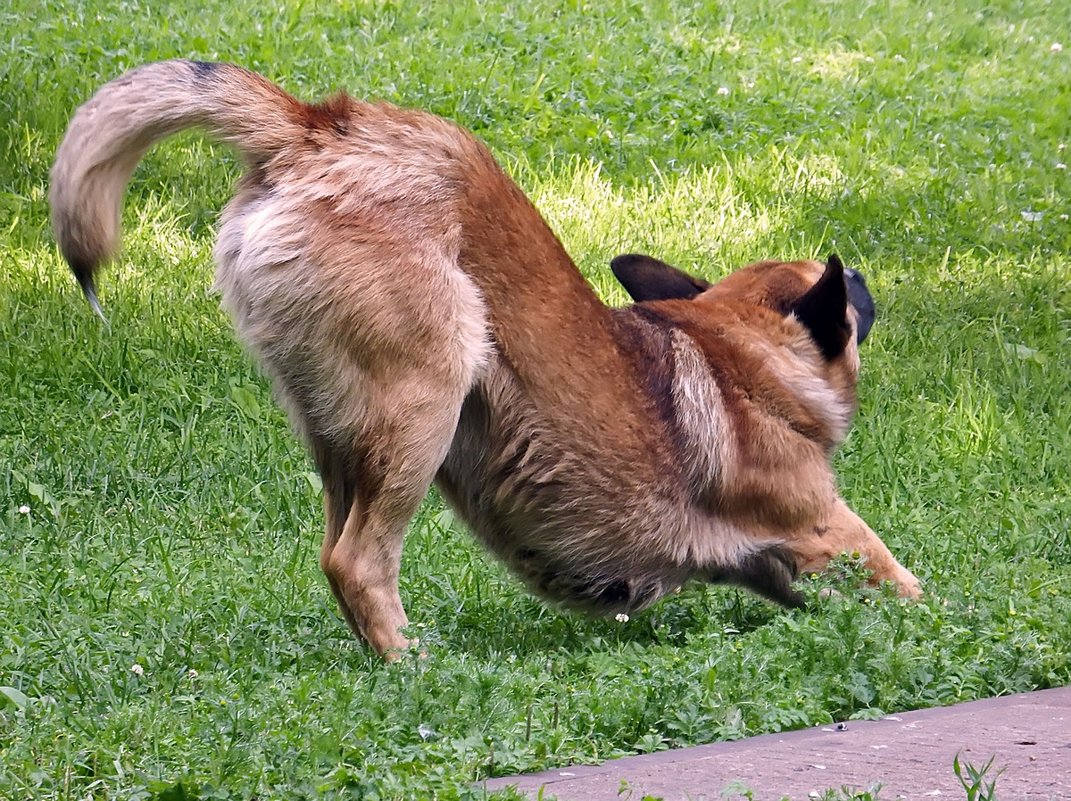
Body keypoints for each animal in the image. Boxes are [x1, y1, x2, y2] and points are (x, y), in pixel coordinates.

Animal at [50, 57, 921, 655]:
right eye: (847, 294)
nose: (863, 279)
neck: (736, 353)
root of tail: (318, 125)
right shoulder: (830, 536)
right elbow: (915, 590)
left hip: (336, 430)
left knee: (334, 549)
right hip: (424, 402)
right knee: (358, 561)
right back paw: (411, 662)